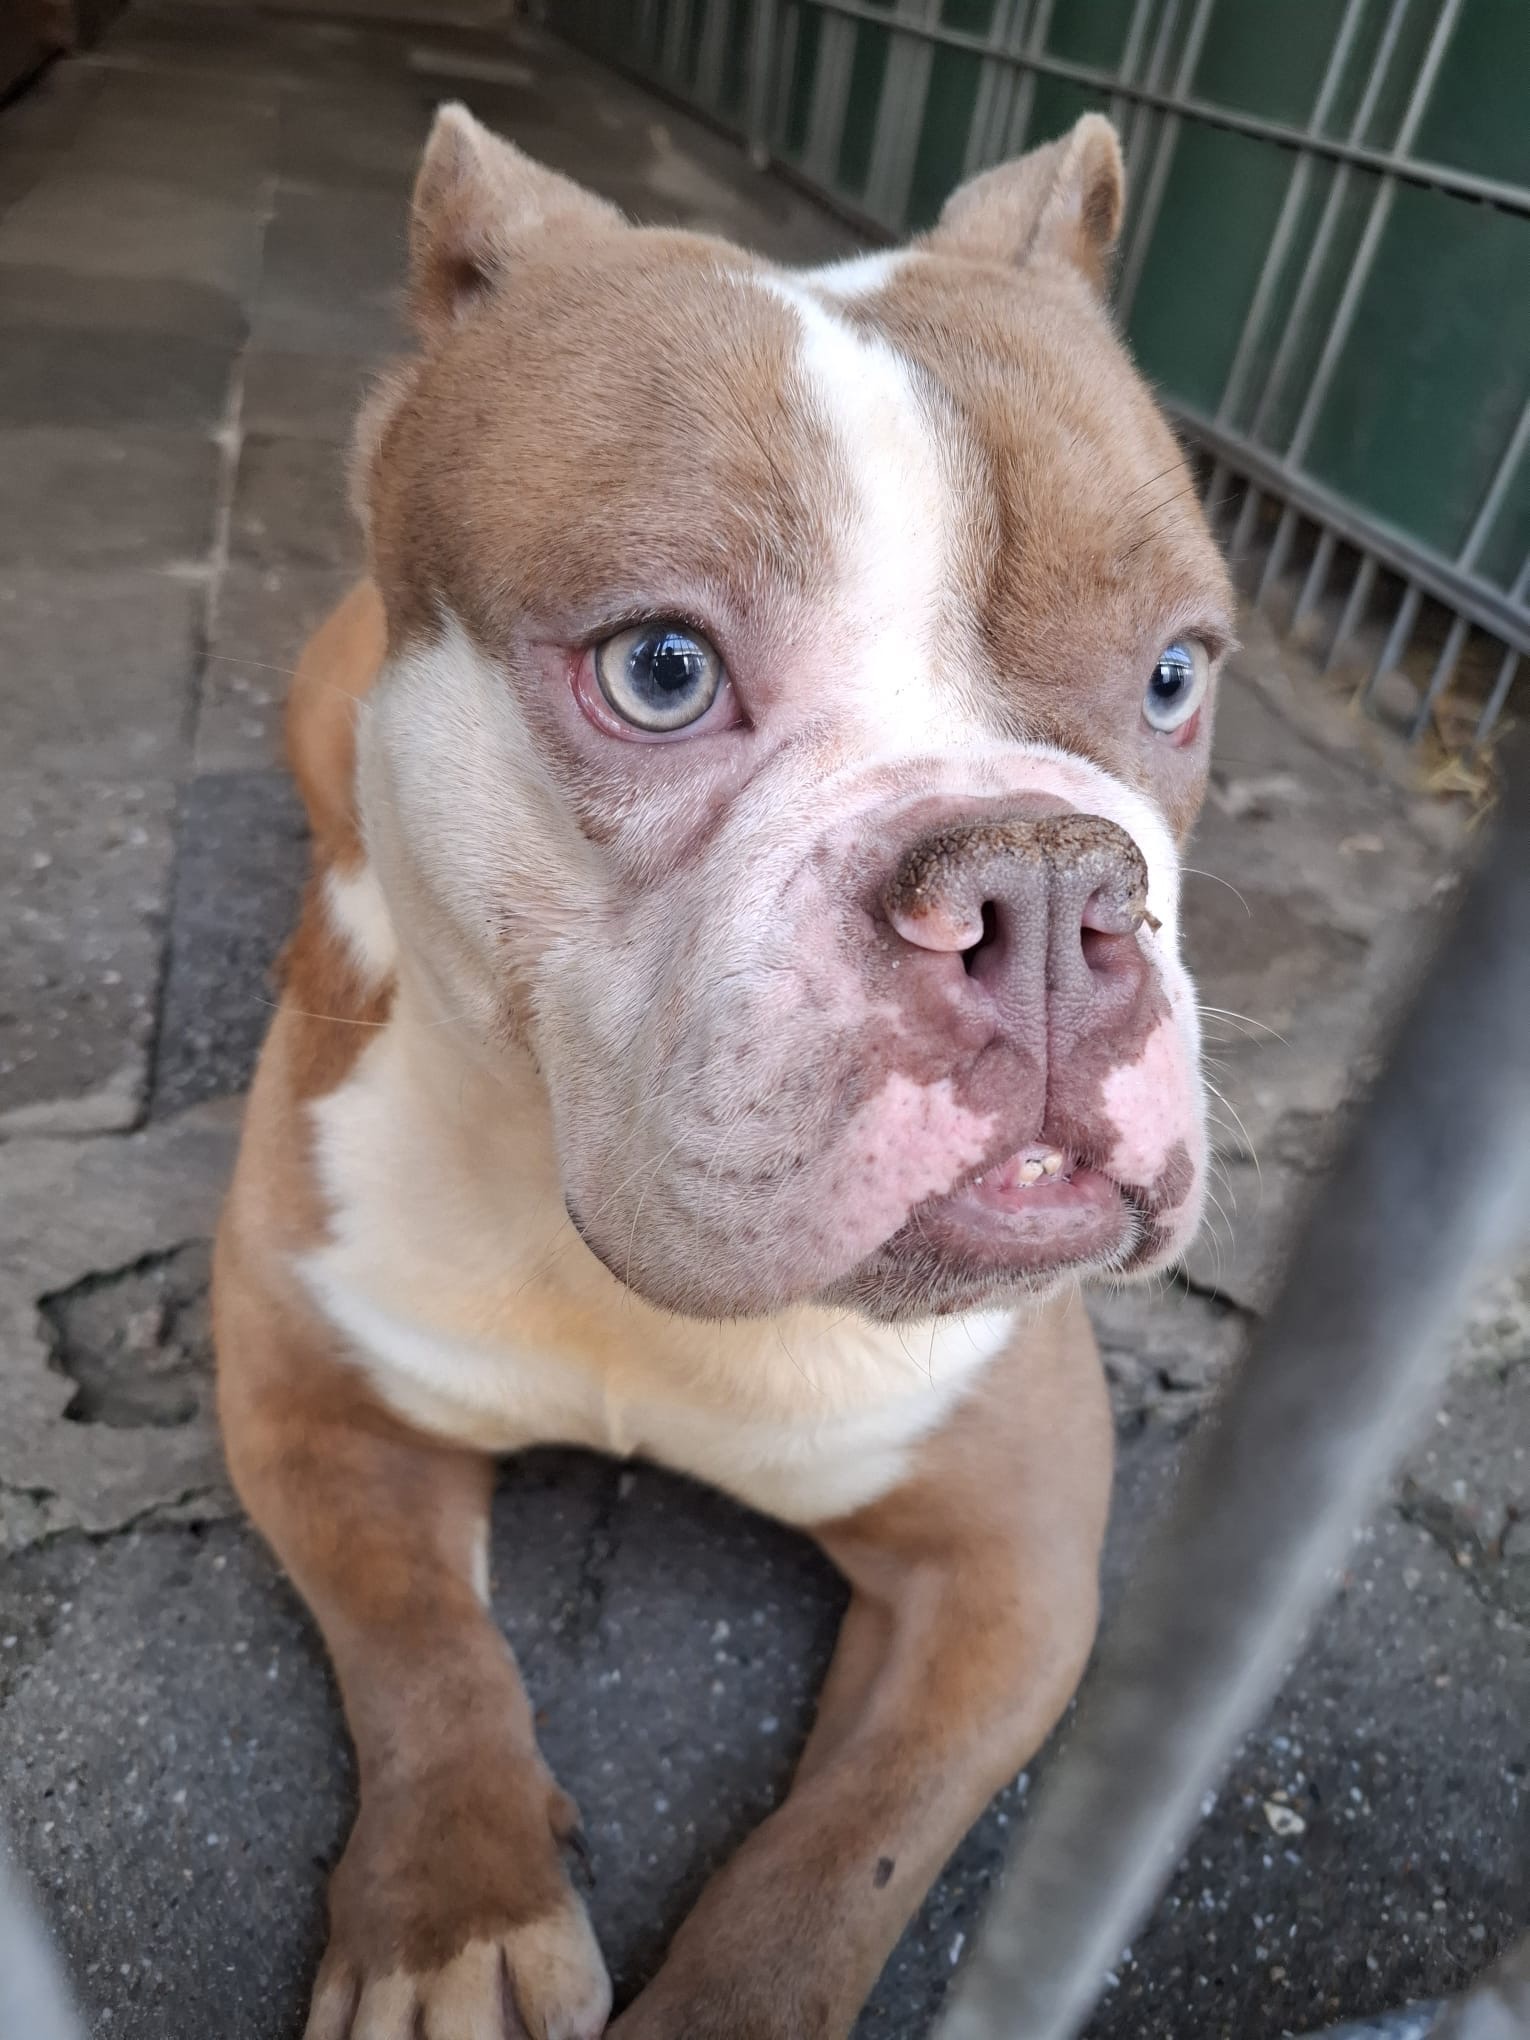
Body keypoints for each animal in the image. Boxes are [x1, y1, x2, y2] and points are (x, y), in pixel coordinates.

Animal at [214, 101, 1232, 2040]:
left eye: (1172, 677)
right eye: (662, 671)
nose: (1045, 892)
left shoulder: (1010, 1565)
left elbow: (840, 1860)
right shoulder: (317, 1399)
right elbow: (424, 1655)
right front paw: (453, 1917)